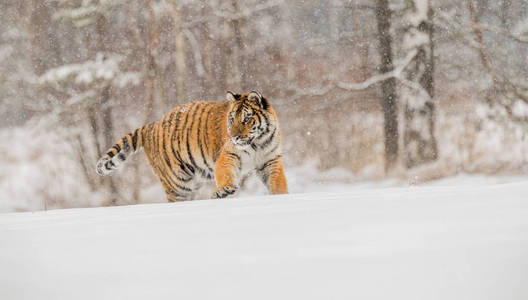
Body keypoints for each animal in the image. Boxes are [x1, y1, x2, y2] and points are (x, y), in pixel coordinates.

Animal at [95, 89, 288, 202]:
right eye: (232, 119)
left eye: (246, 119)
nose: (234, 137)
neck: (258, 143)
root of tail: (152, 125)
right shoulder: (228, 156)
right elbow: (225, 174)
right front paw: (224, 191)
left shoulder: (270, 161)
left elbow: (278, 182)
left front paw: (282, 197)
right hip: (177, 184)